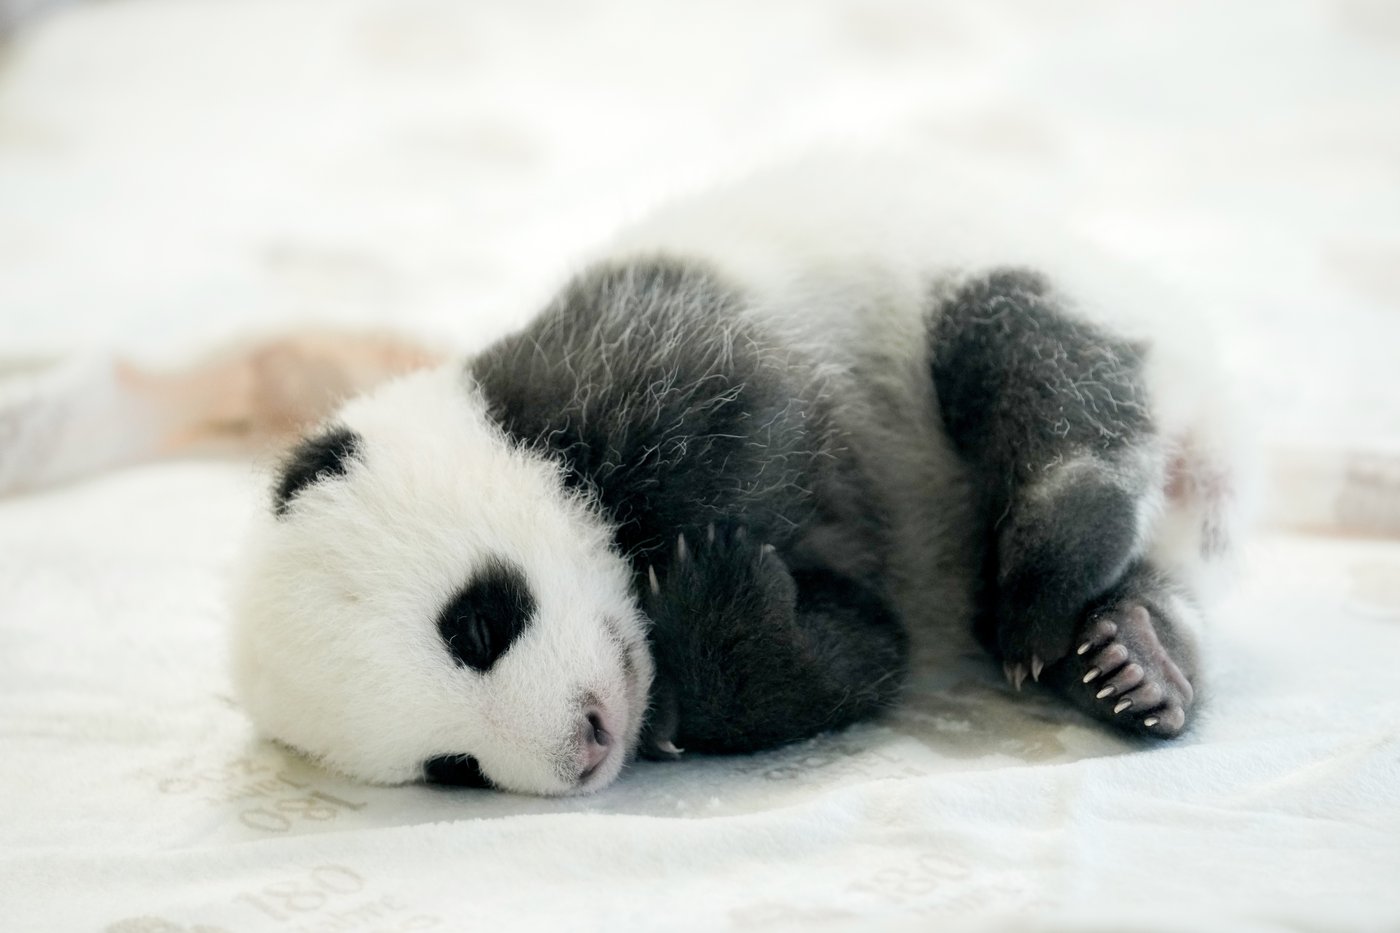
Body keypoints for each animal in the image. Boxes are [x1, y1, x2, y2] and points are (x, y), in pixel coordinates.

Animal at [231, 155, 1242, 796]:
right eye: (452, 768)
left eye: (477, 624)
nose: (587, 748)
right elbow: (855, 659)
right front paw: (722, 629)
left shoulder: (627, 344)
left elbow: (750, 408)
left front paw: (697, 572)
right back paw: (1133, 660)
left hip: (975, 273)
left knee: (1034, 362)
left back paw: (1052, 570)